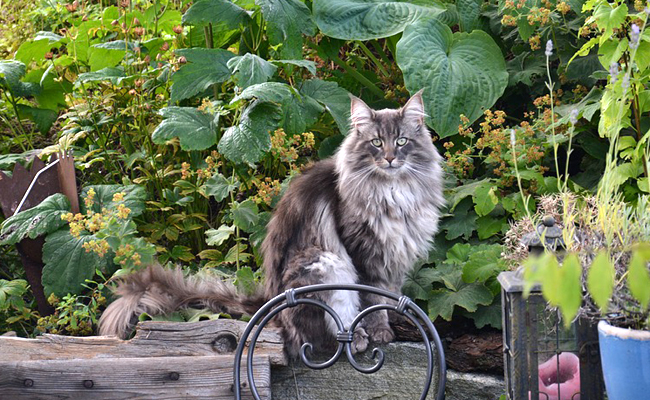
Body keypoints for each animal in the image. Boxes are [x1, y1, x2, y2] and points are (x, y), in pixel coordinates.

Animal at [98, 93, 442, 356]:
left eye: (401, 141)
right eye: (376, 143)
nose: (390, 158)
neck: (393, 192)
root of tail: (269, 303)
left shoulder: (395, 255)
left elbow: (389, 296)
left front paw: (395, 325)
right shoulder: (363, 252)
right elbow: (373, 300)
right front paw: (380, 332)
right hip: (327, 264)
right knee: (320, 337)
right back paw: (354, 340)